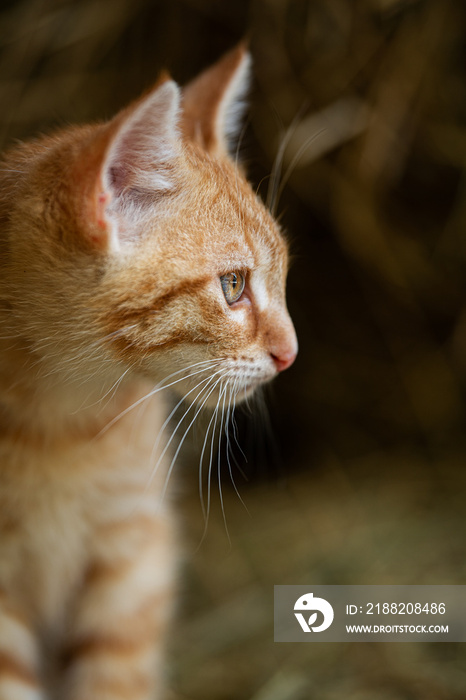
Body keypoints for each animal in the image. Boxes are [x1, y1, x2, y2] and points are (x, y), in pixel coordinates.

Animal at [0, 45, 296, 700]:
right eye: (233, 285)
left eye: (284, 275)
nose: (292, 352)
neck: (58, 418)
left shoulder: (133, 556)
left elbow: (118, 677)